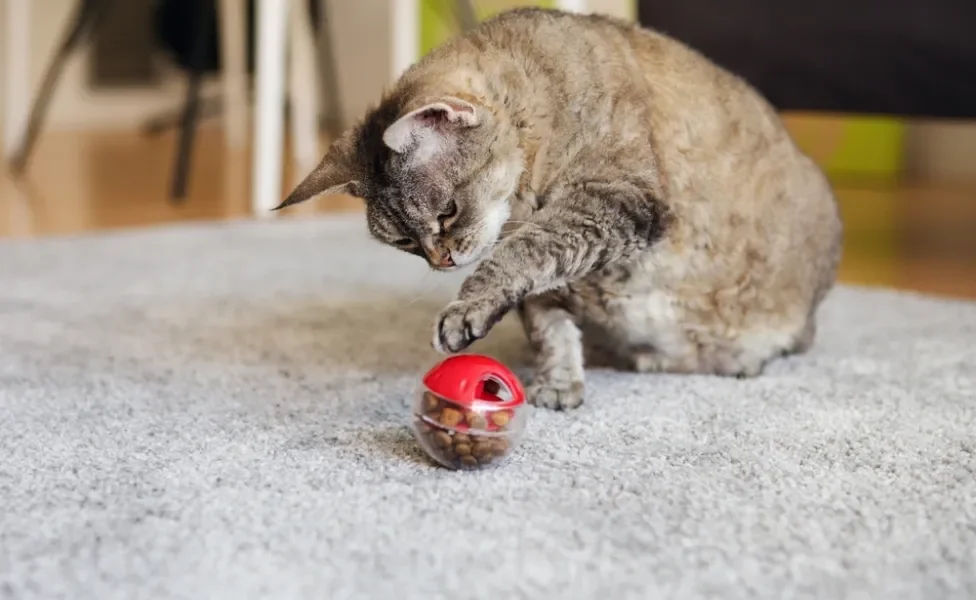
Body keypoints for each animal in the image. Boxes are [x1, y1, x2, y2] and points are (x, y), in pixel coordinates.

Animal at [276, 7, 848, 410]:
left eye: (447, 212)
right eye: (403, 242)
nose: (441, 260)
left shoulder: (613, 201)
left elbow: (520, 256)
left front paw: (465, 309)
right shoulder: (553, 279)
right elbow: (548, 324)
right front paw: (559, 382)